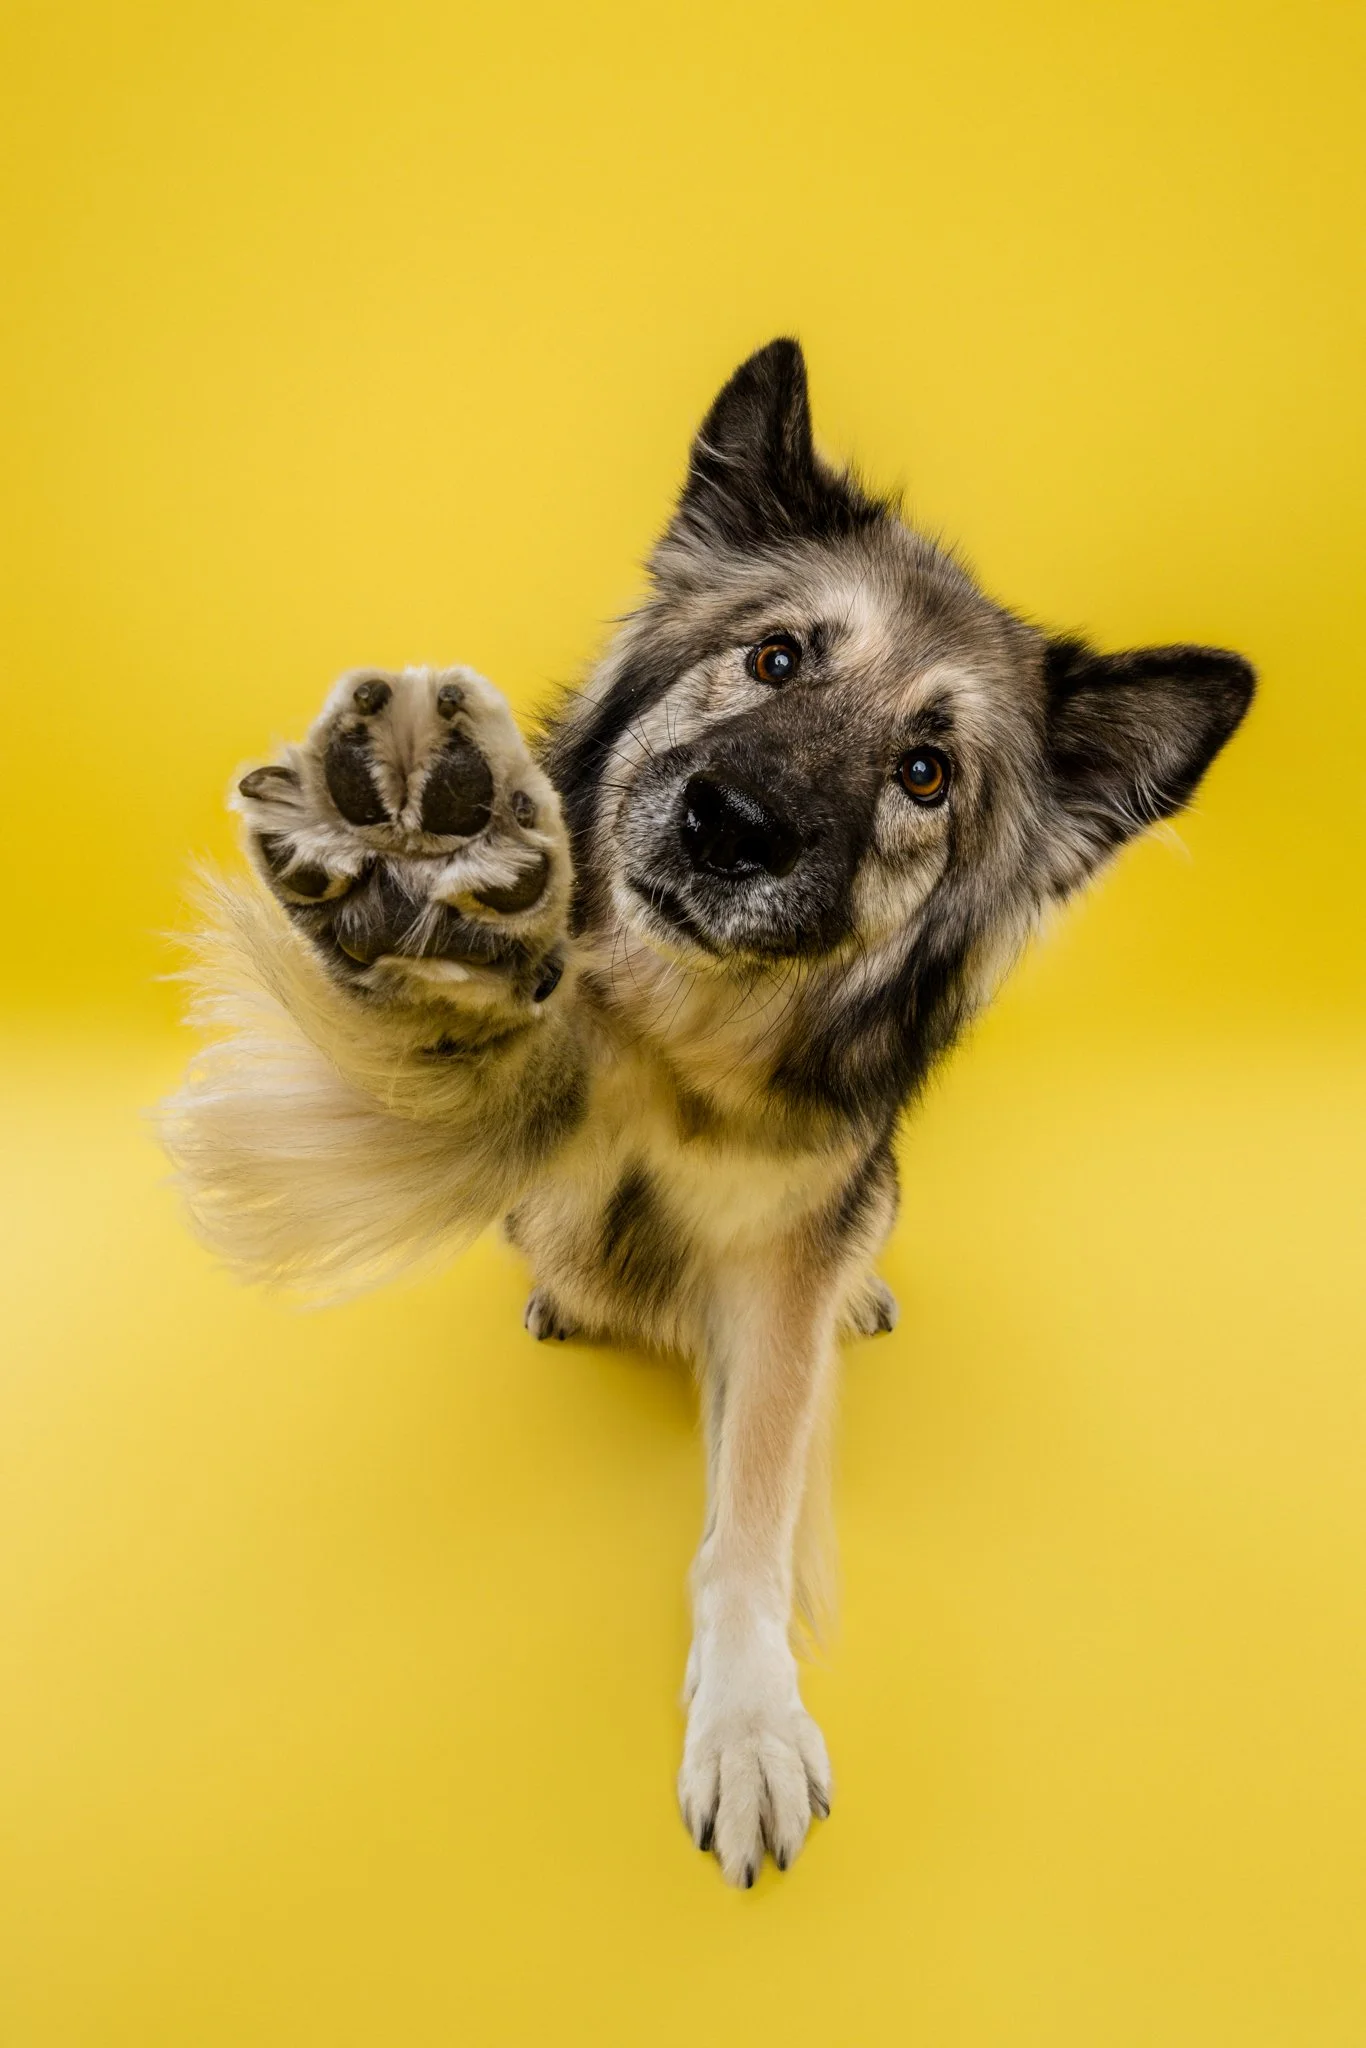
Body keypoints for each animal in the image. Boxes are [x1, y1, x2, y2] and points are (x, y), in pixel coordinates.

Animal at [162, 338, 1254, 1886]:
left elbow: (751, 1516)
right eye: (777, 656)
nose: (731, 824)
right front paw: (403, 834)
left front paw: (746, 1721)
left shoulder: (782, 1260)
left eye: (925, 772)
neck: (681, 1039)